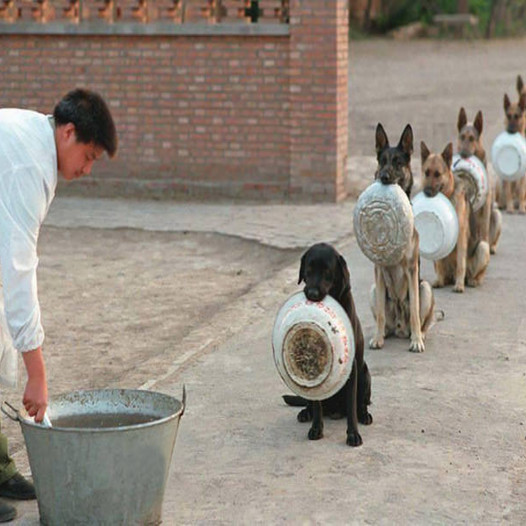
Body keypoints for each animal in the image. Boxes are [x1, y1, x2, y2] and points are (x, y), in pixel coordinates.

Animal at [282, 242, 374, 446]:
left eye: (327, 273)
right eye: (308, 271)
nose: (312, 293)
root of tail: (334, 410)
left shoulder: (352, 368)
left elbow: (351, 407)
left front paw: (353, 434)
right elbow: (317, 406)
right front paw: (316, 428)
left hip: (365, 374)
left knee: (361, 404)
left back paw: (364, 415)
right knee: (312, 404)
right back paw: (305, 412)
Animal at [370, 124, 436, 354]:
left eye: (398, 162)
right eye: (382, 161)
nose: (383, 176)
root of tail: (399, 327)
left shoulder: (411, 268)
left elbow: (415, 311)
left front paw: (416, 341)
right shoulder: (379, 271)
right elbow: (381, 314)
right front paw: (377, 338)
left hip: (425, 288)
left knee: (423, 320)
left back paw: (419, 335)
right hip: (375, 290)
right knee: (384, 319)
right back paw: (384, 334)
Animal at [422, 142, 492, 294]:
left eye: (437, 174)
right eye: (426, 173)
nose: (427, 192)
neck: (448, 195)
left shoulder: (460, 238)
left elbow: (461, 263)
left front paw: (459, 285)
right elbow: (440, 263)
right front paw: (439, 280)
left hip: (483, 247)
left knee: (476, 274)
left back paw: (471, 281)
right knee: (443, 269)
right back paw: (444, 279)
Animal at [458, 108, 504, 256]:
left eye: (472, 139)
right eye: (462, 137)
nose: (463, 154)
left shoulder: (486, 206)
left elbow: (484, 228)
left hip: (496, 214)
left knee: (490, 238)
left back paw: (491, 247)